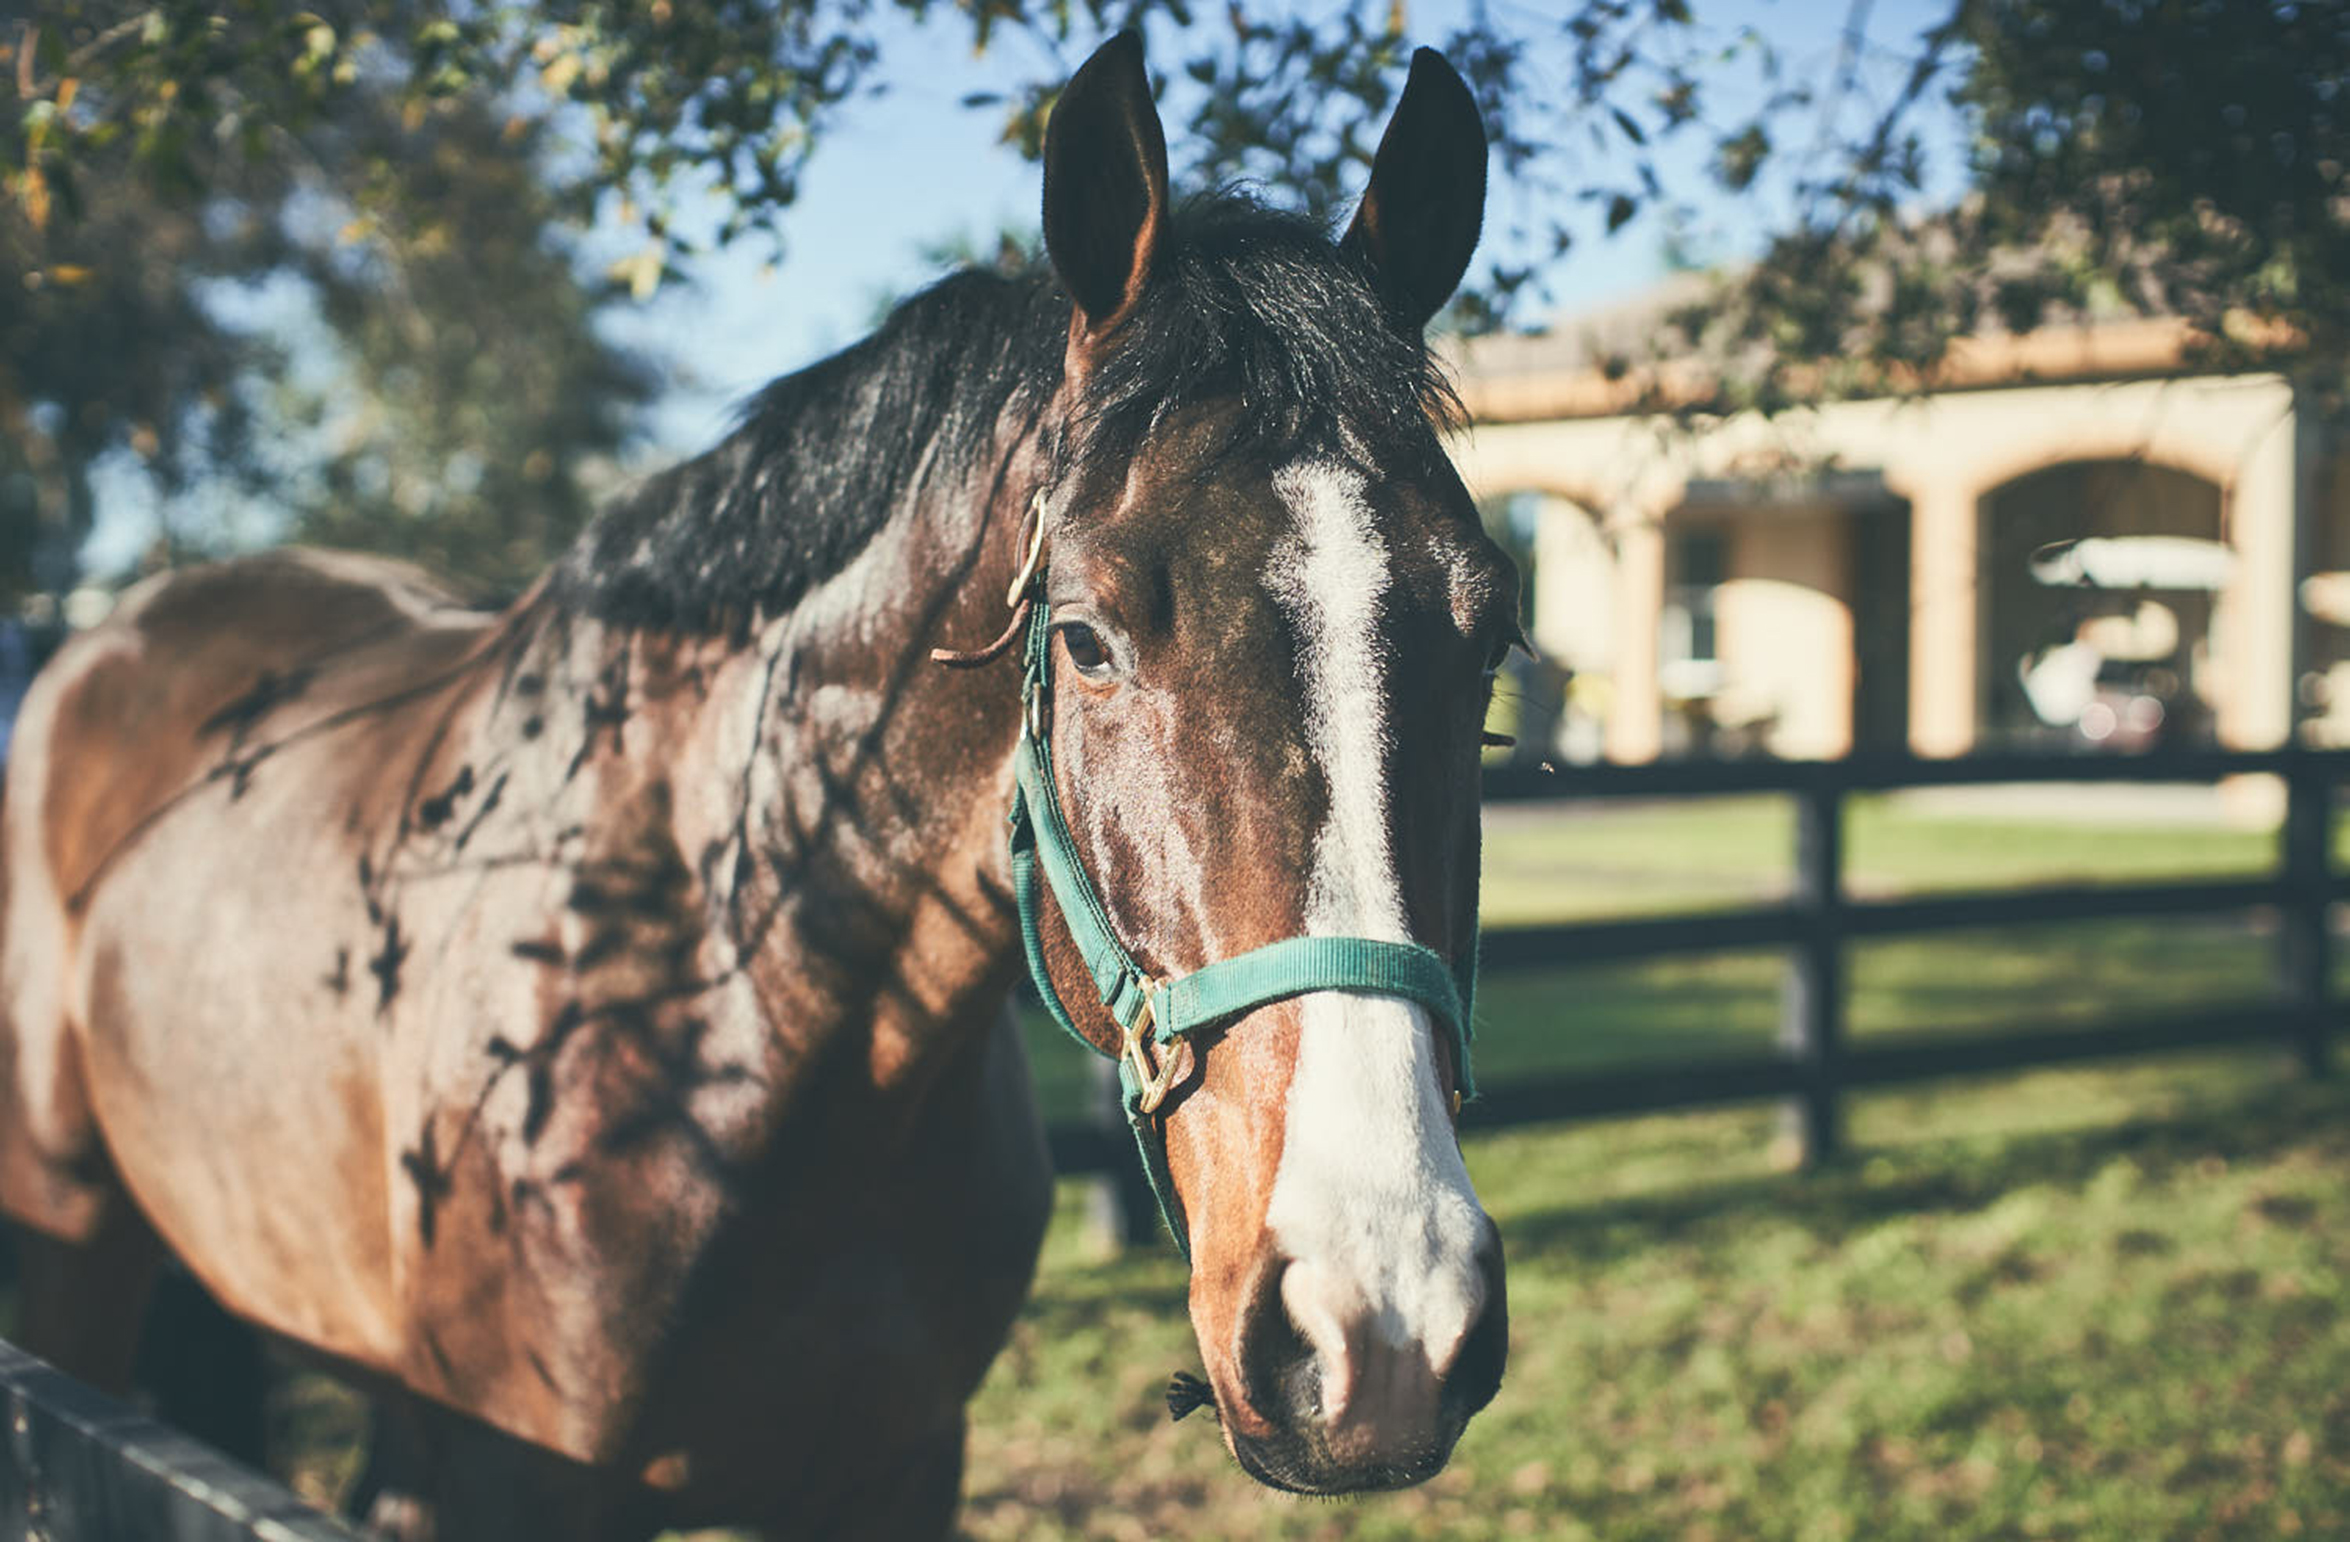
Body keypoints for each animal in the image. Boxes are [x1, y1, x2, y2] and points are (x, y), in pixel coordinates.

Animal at [0, 30, 1513, 1532]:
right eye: (1085, 636)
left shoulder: (896, 1468)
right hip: (75, 1262)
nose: (1378, 1319)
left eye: (1491, 634)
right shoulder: (512, 1476)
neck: (726, 1020)